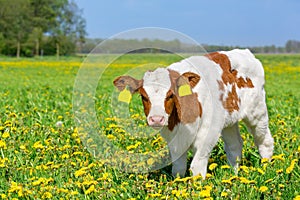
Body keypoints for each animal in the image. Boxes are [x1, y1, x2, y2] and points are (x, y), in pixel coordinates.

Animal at [113, 49, 274, 177]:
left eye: (171, 95)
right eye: (143, 96)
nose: (156, 119)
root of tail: (245, 52)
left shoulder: (208, 132)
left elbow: (196, 166)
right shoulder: (174, 139)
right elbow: (178, 168)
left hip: (257, 112)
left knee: (264, 141)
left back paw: (265, 169)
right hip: (229, 120)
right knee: (235, 146)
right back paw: (233, 175)